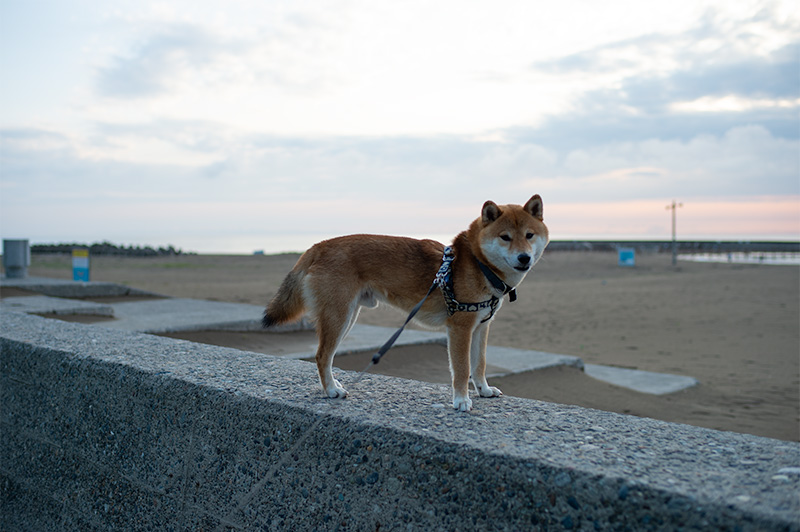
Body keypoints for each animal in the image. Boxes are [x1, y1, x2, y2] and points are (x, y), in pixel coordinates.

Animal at [264, 195, 552, 412]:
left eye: (529, 235)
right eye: (505, 237)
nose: (524, 258)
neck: (479, 264)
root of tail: (319, 245)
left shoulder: (481, 326)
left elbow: (478, 364)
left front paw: (483, 390)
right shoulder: (460, 328)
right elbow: (462, 369)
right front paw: (461, 401)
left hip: (347, 316)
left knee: (325, 355)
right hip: (339, 317)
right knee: (322, 355)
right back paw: (332, 390)